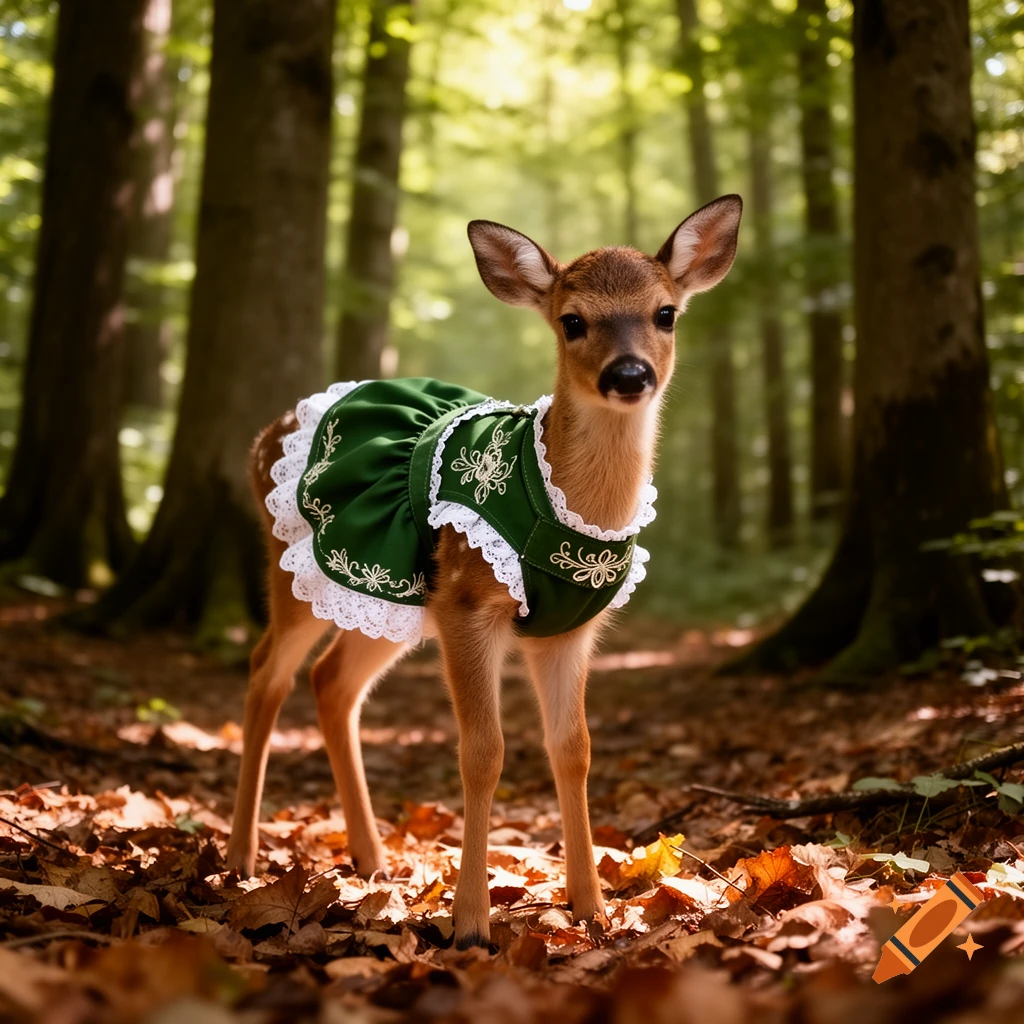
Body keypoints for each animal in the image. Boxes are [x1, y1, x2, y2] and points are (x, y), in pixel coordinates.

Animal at [226, 194, 743, 949]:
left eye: (666, 312)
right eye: (572, 320)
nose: (628, 375)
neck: (566, 505)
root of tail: (265, 435)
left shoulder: (568, 627)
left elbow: (574, 749)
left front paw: (591, 908)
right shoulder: (470, 601)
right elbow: (483, 751)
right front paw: (470, 923)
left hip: (385, 594)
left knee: (332, 681)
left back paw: (372, 862)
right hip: (294, 562)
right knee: (268, 670)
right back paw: (239, 858)